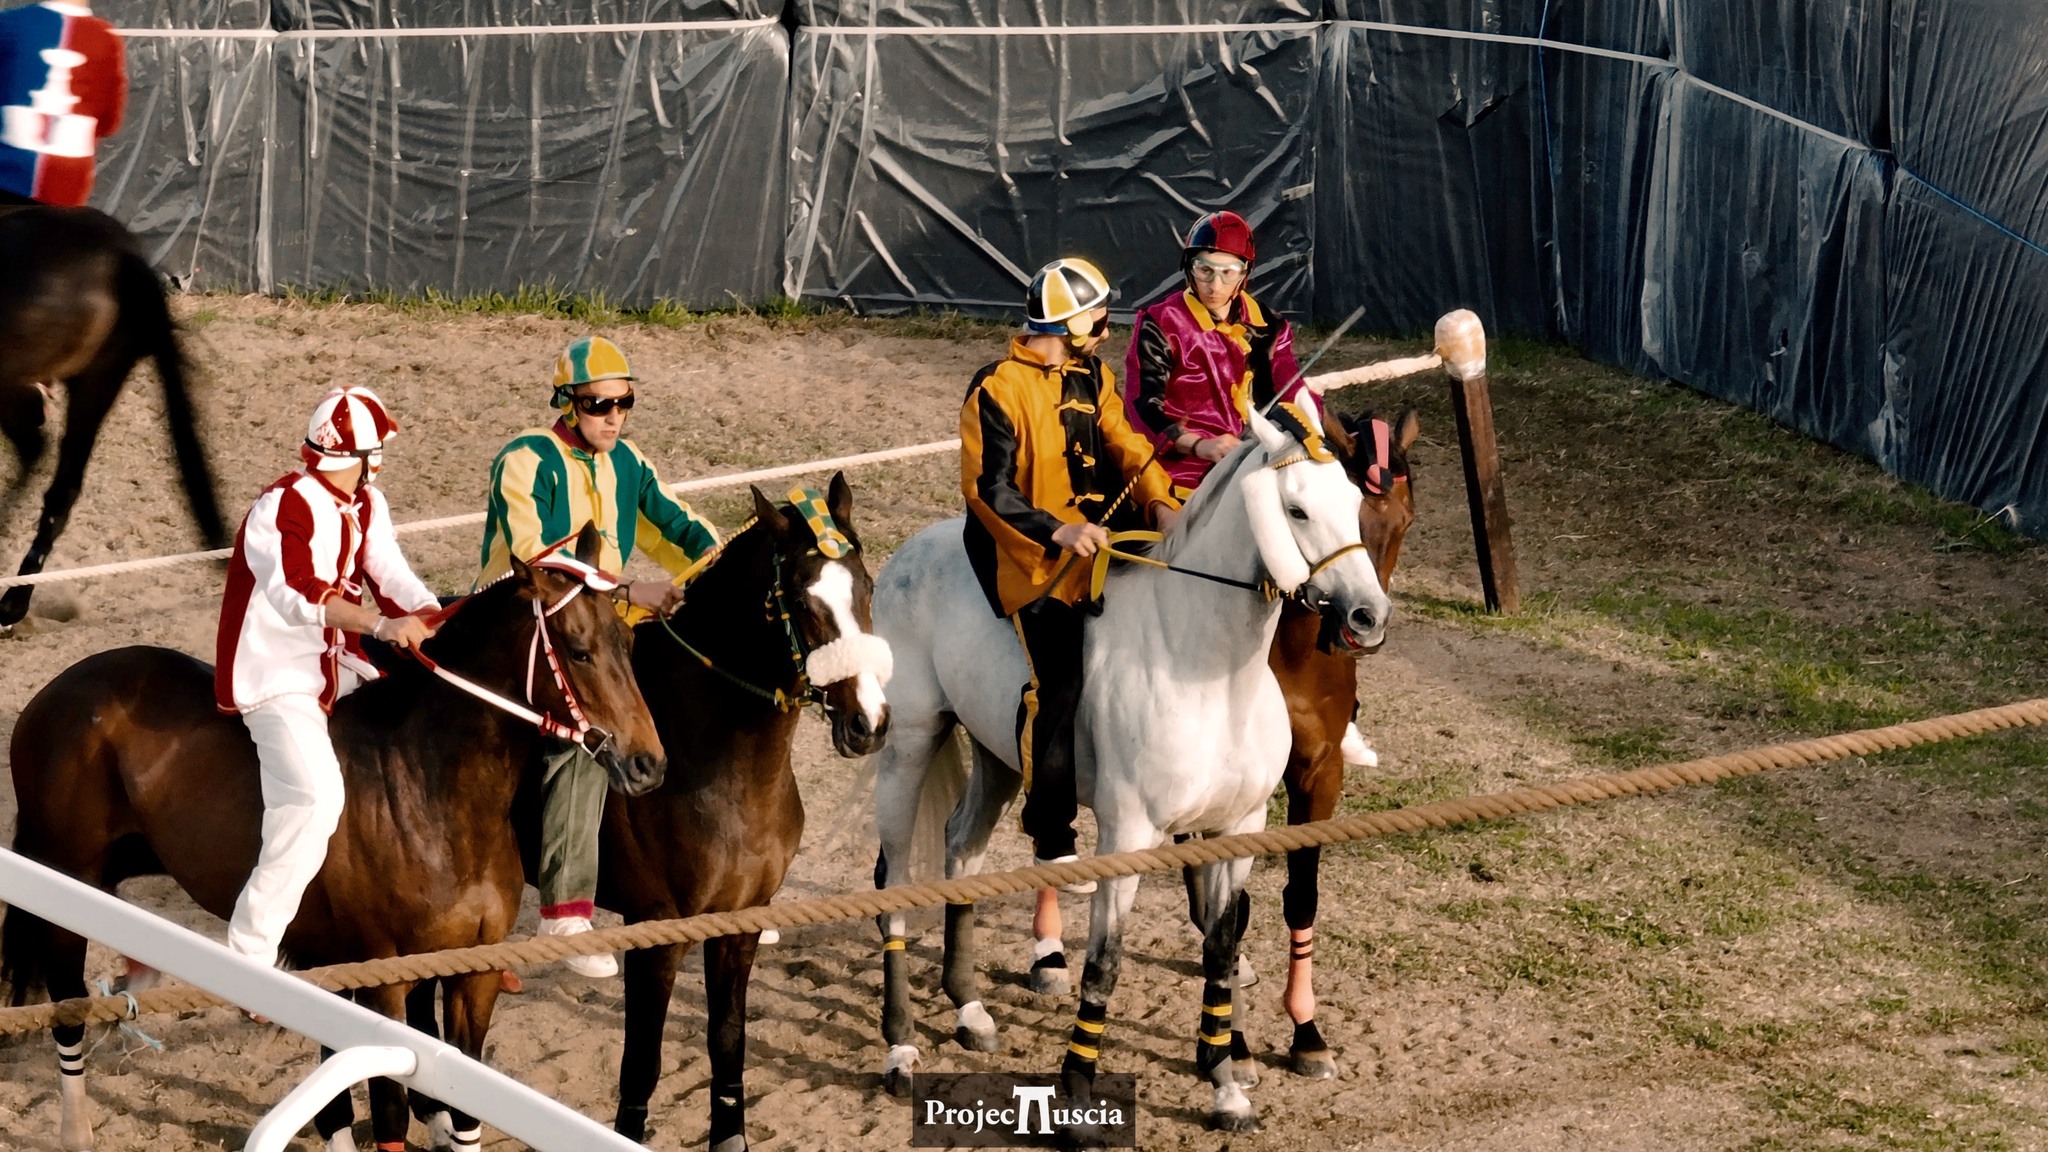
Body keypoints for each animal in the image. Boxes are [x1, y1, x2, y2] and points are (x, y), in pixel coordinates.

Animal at [0, 522, 659, 1147]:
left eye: (629, 642)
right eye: (578, 651)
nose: (648, 763)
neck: (426, 784)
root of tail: (56, 691)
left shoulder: (473, 972)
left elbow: (463, 1110)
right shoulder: (383, 981)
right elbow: (390, 1113)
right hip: (67, 880)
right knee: (67, 1008)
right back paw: (75, 1130)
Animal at [864, 399, 1392, 1123]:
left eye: (1352, 499)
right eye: (1297, 509)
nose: (1369, 616)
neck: (1208, 668)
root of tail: (911, 551)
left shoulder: (1240, 828)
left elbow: (1222, 950)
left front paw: (1225, 1083)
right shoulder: (1130, 836)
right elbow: (1105, 961)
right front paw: (1080, 1088)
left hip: (1000, 758)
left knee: (961, 849)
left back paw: (970, 1010)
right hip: (911, 745)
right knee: (893, 883)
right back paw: (900, 1047)